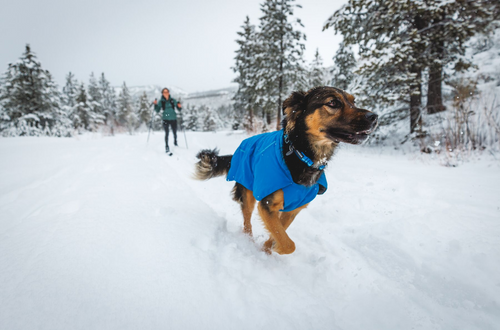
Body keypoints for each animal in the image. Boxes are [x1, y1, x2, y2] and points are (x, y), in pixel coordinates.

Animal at [193, 85, 376, 255]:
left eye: (353, 101)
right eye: (333, 103)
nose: (374, 117)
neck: (302, 156)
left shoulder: (293, 209)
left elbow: (279, 233)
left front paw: (268, 249)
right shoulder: (266, 204)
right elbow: (288, 244)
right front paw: (275, 249)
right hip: (247, 192)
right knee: (247, 221)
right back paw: (248, 240)